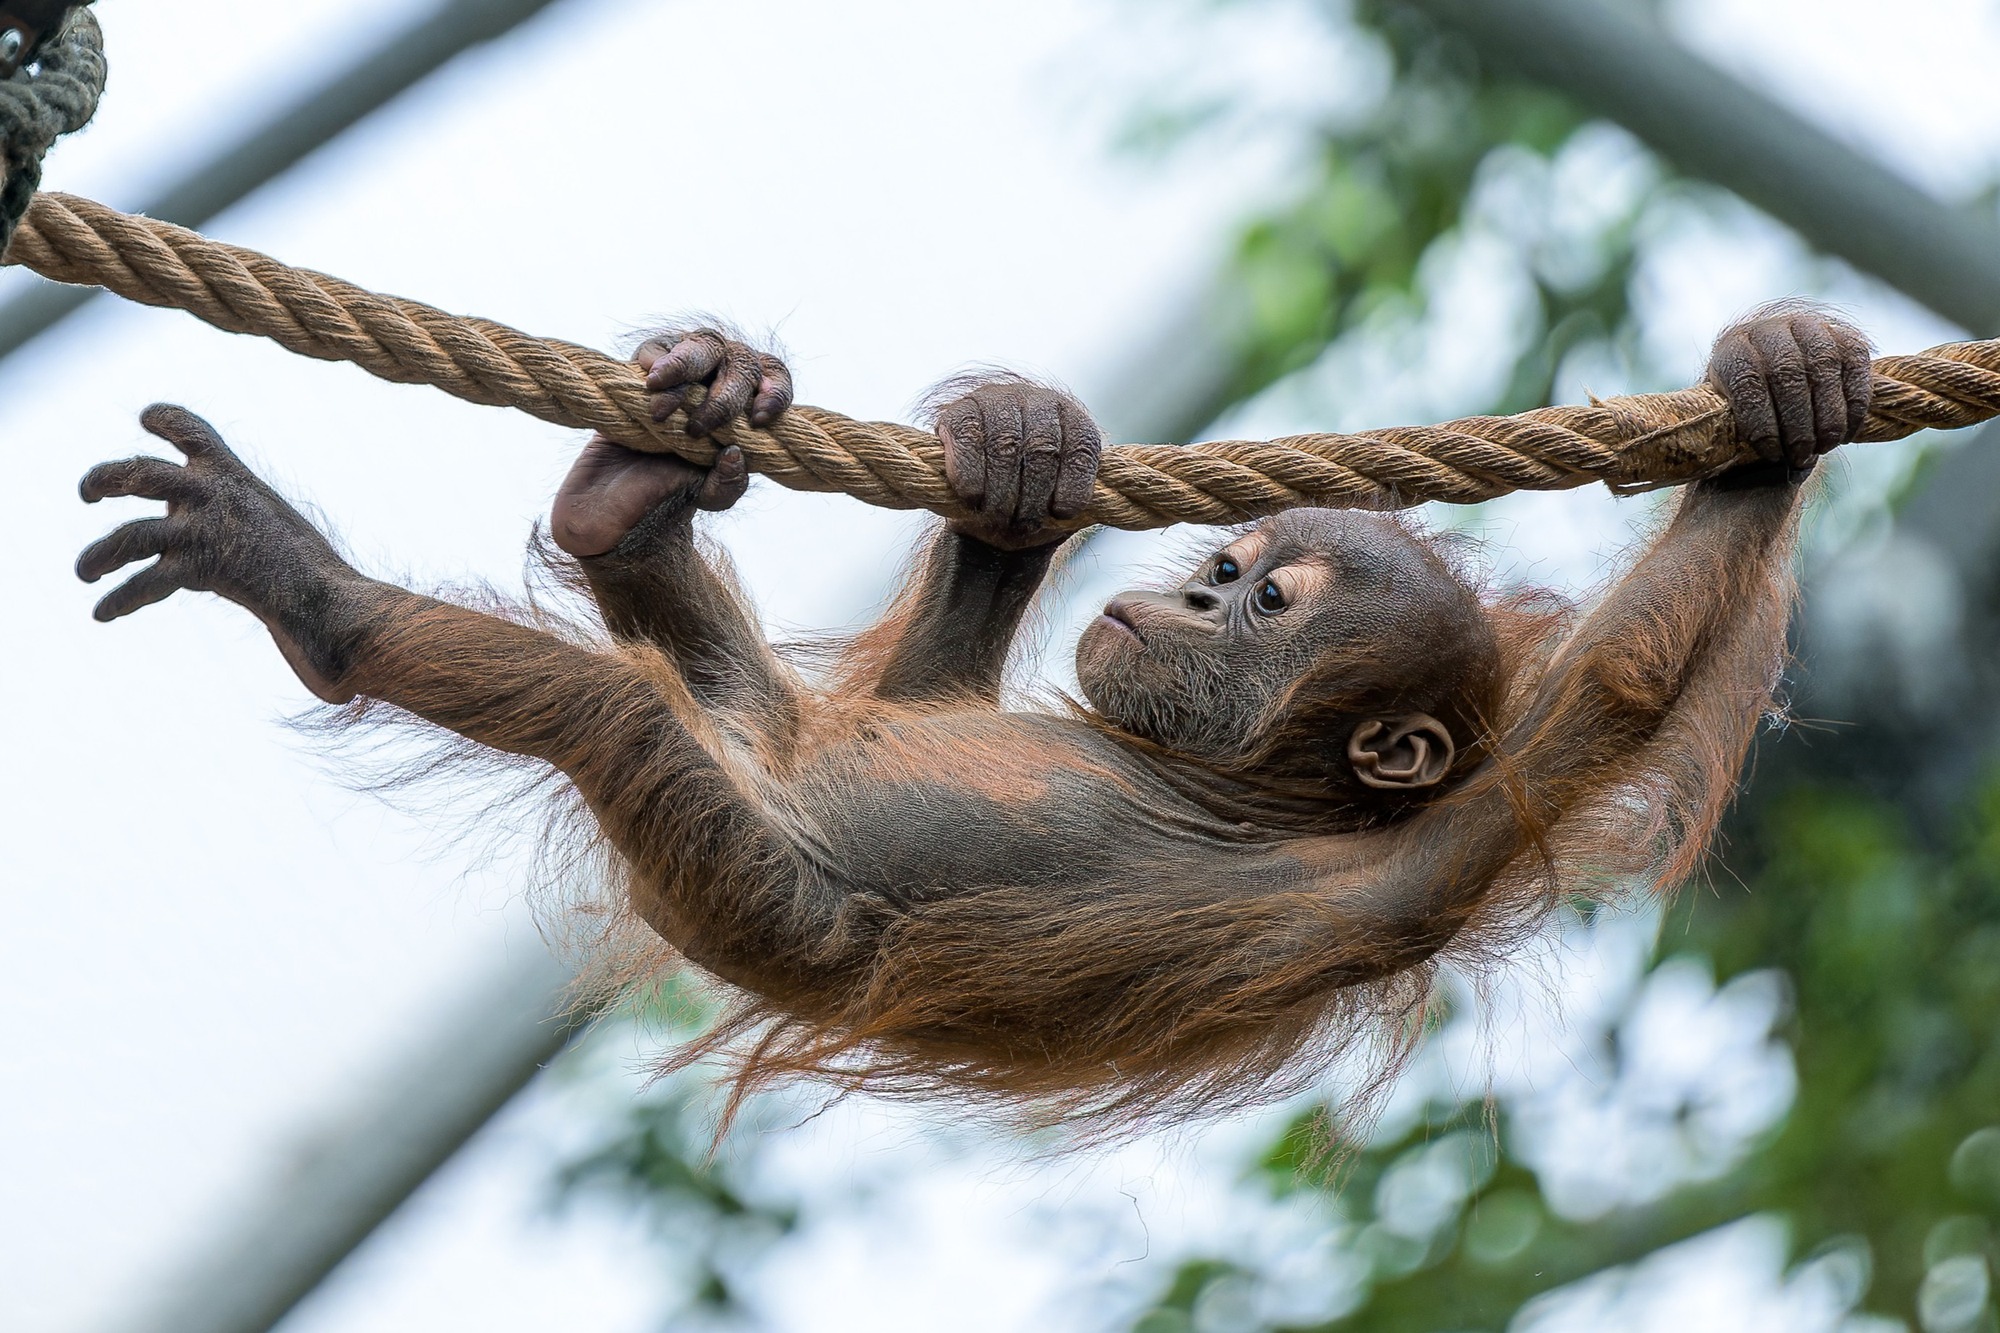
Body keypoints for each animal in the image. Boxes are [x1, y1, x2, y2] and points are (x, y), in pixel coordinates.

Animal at [72, 307, 1871, 1130]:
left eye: (1269, 606)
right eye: (1228, 566)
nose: (1189, 594)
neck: (1240, 786)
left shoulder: (1425, 852)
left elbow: (1617, 690)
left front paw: (1775, 424)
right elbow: (920, 699)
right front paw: (1021, 468)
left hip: (756, 881)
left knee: (614, 717)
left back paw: (313, 591)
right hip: (769, 758)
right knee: (758, 691)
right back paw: (633, 493)